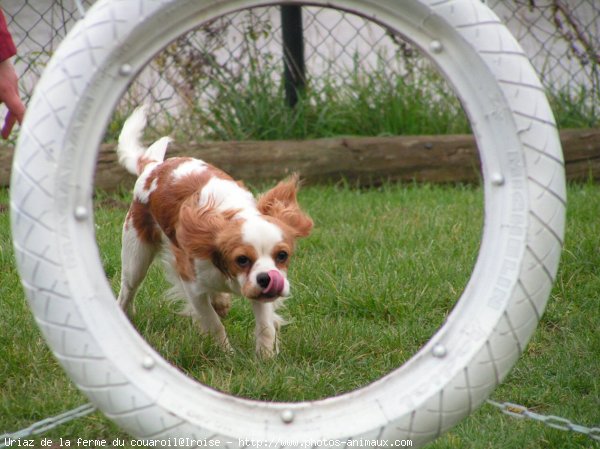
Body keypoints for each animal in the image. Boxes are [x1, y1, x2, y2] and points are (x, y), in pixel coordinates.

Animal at [116, 107, 314, 356]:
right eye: (241, 259)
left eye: (282, 255)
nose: (267, 278)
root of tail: (152, 167)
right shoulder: (192, 283)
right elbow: (212, 322)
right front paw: (226, 353)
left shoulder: (259, 291)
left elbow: (265, 324)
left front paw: (266, 356)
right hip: (136, 256)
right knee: (128, 289)